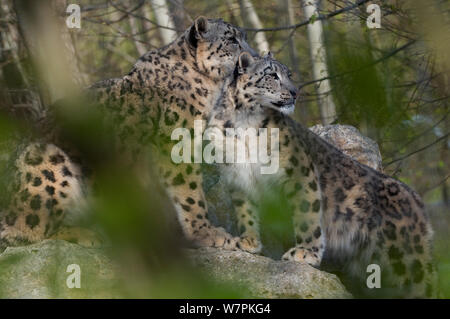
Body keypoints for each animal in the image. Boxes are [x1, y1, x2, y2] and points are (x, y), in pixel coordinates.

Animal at [207, 51, 436, 298]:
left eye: (289, 74)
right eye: (272, 75)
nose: (295, 92)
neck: (245, 122)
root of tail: (417, 202)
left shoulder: (298, 172)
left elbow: (306, 214)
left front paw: (305, 252)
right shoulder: (237, 176)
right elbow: (245, 210)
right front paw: (247, 241)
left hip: (407, 260)